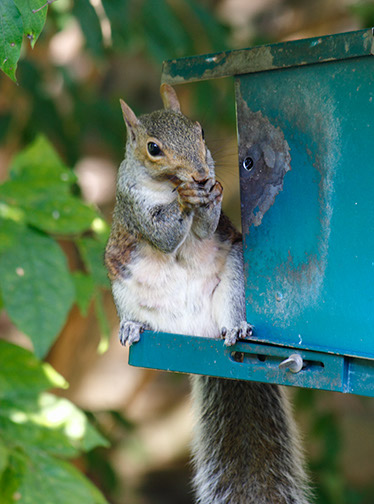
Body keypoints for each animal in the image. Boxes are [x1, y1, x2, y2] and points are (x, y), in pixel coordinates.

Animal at [104, 84, 310, 504]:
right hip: (124, 285)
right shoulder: (133, 203)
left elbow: (204, 228)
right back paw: (132, 327)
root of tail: (198, 336)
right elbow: (164, 236)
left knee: (229, 314)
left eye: (199, 131)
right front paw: (187, 200)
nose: (200, 176)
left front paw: (212, 194)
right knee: (138, 315)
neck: (167, 187)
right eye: (153, 148)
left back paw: (235, 329)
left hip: (233, 277)